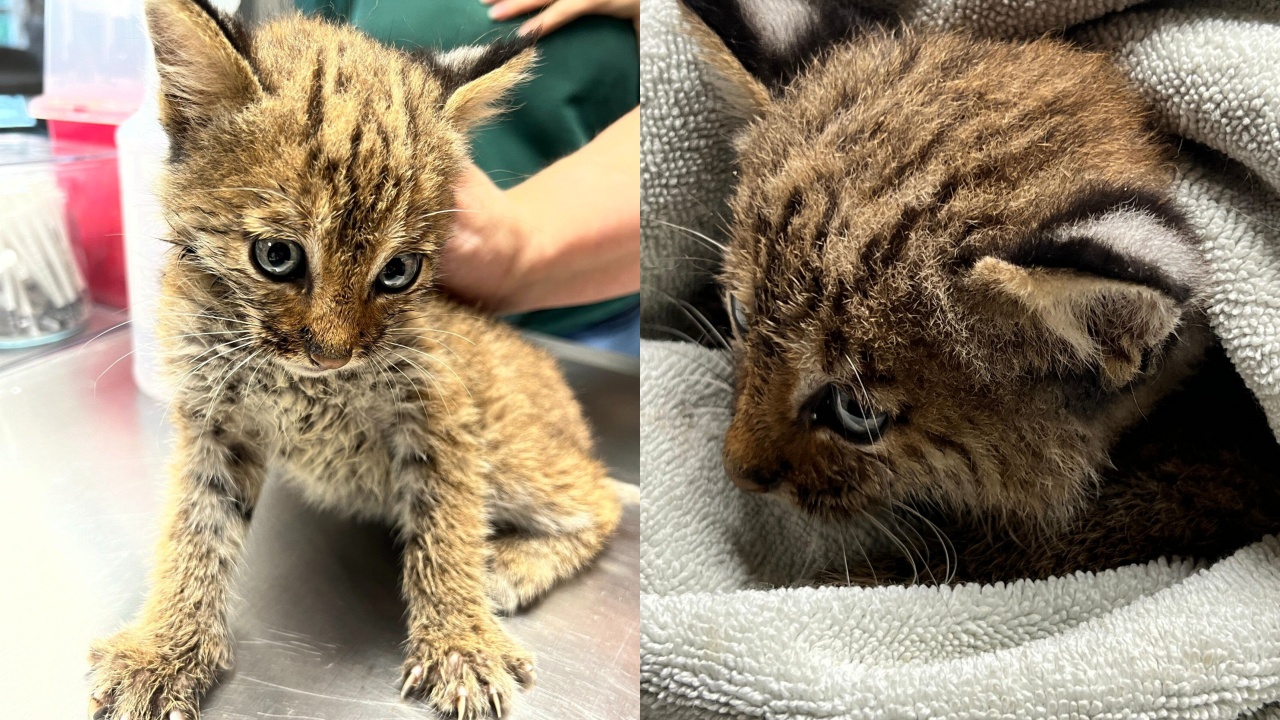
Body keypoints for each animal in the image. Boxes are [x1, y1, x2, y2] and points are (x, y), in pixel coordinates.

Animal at [88, 2, 619, 712]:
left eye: (398, 271)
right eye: (276, 256)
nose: (331, 355)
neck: (301, 382)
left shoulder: (442, 408)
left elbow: (447, 524)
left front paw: (461, 642)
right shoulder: (214, 419)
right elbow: (194, 526)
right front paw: (164, 648)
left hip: (511, 453)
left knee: (603, 493)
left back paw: (507, 566)